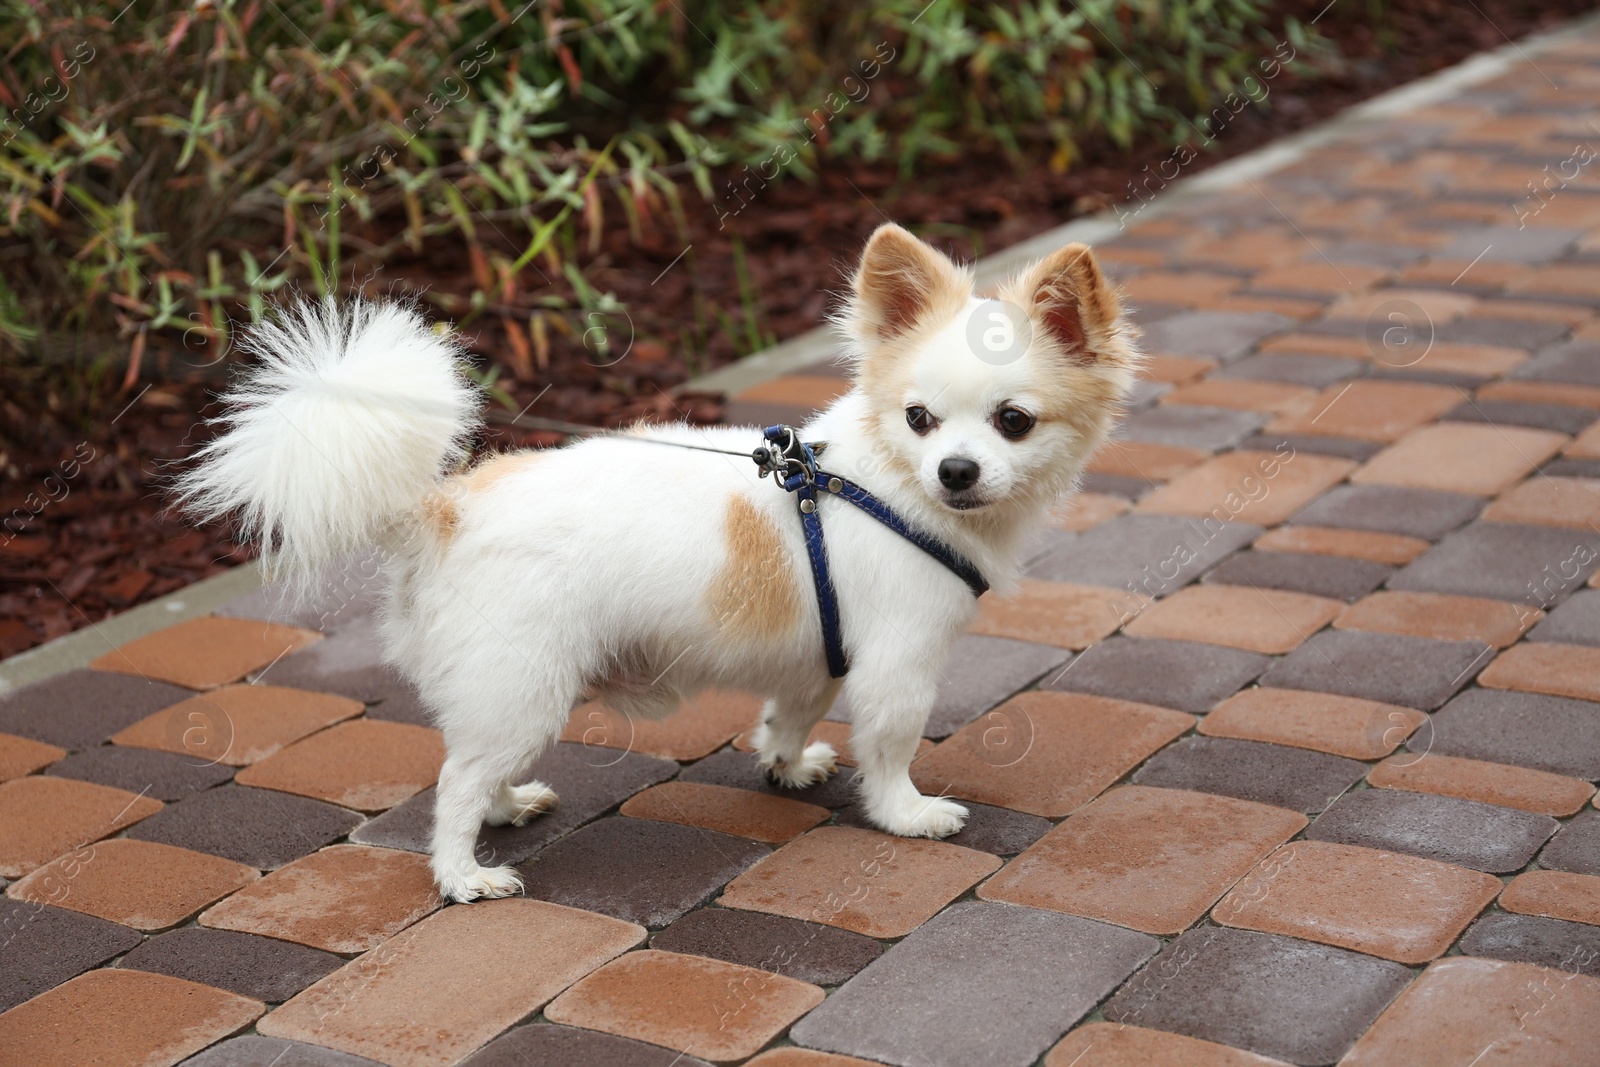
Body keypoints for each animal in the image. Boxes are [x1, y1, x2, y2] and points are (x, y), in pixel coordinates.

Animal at [178, 223, 1139, 902]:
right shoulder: (899, 661)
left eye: (1012, 421)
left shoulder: (823, 652)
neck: (883, 484)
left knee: (472, 760)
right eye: (919, 420)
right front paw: (907, 814)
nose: (957, 471)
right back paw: (463, 874)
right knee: (453, 782)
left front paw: (786, 764)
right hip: (529, 685)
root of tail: (443, 506)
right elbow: (892, 743)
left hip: (506, 690)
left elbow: (792, 709)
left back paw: (507, 806)